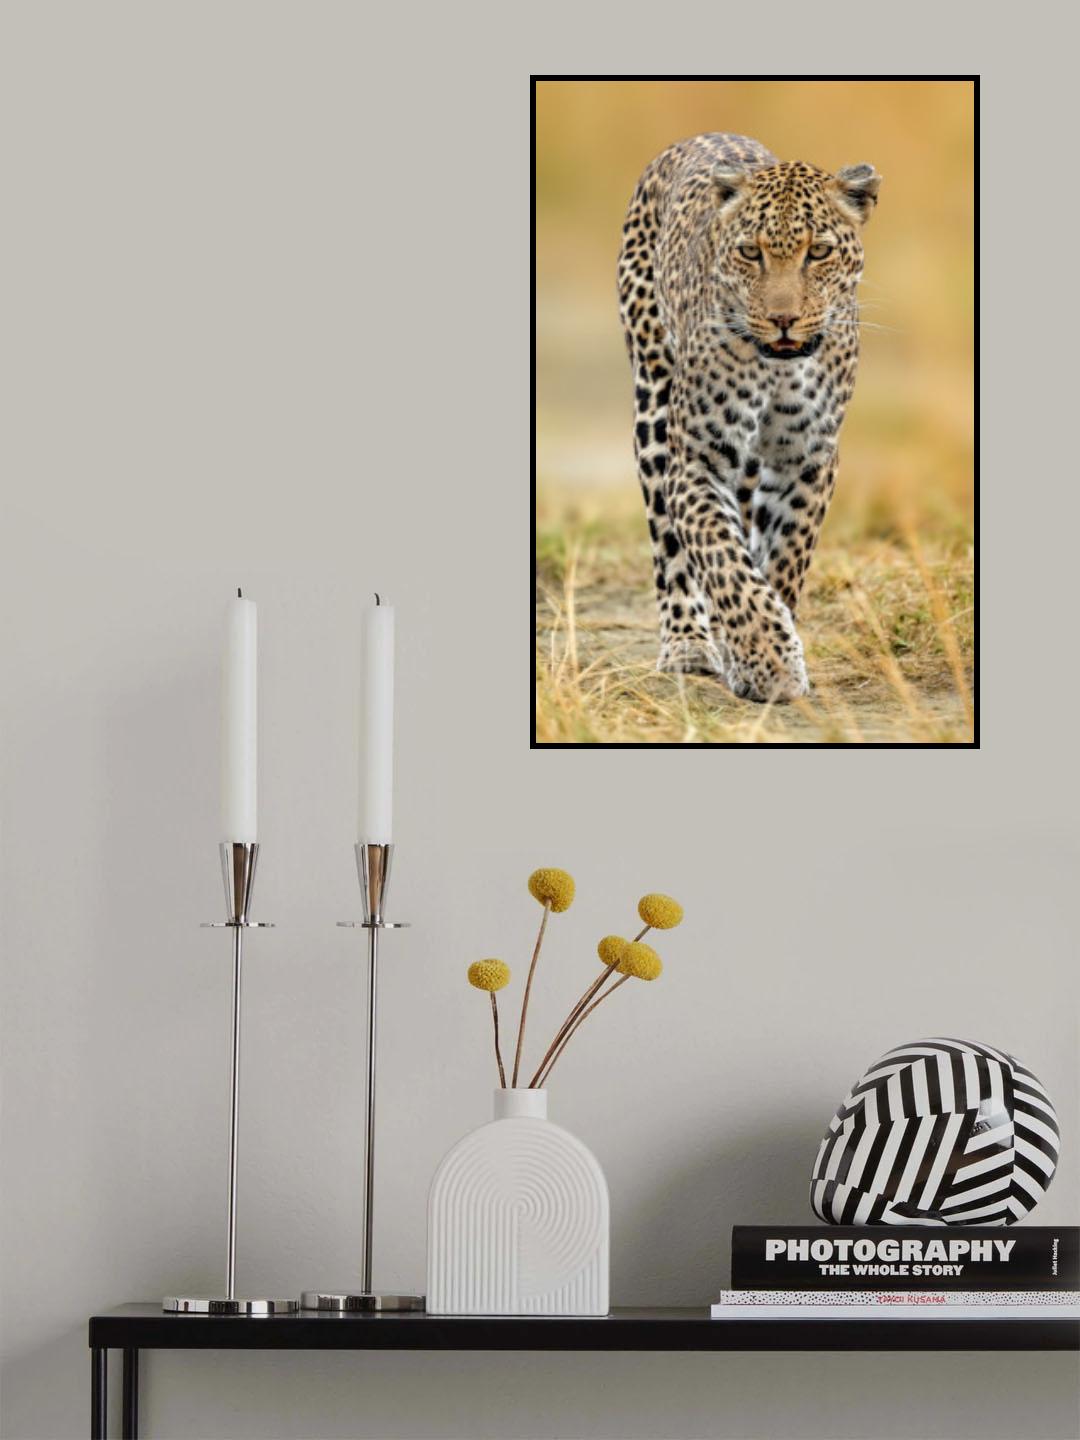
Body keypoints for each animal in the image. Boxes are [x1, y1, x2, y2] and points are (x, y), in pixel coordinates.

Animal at [617, 133, 881, 702]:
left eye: (818, 252)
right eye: (749, 252)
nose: (783, 320)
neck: (779, 369)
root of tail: (699, 137)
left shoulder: (808, 461)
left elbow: (783, 558)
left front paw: (763, 650)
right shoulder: (696, 462)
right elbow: (723, 560)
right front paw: (768, 659)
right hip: (652, 403)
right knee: (671, 547)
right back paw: (689, 644)